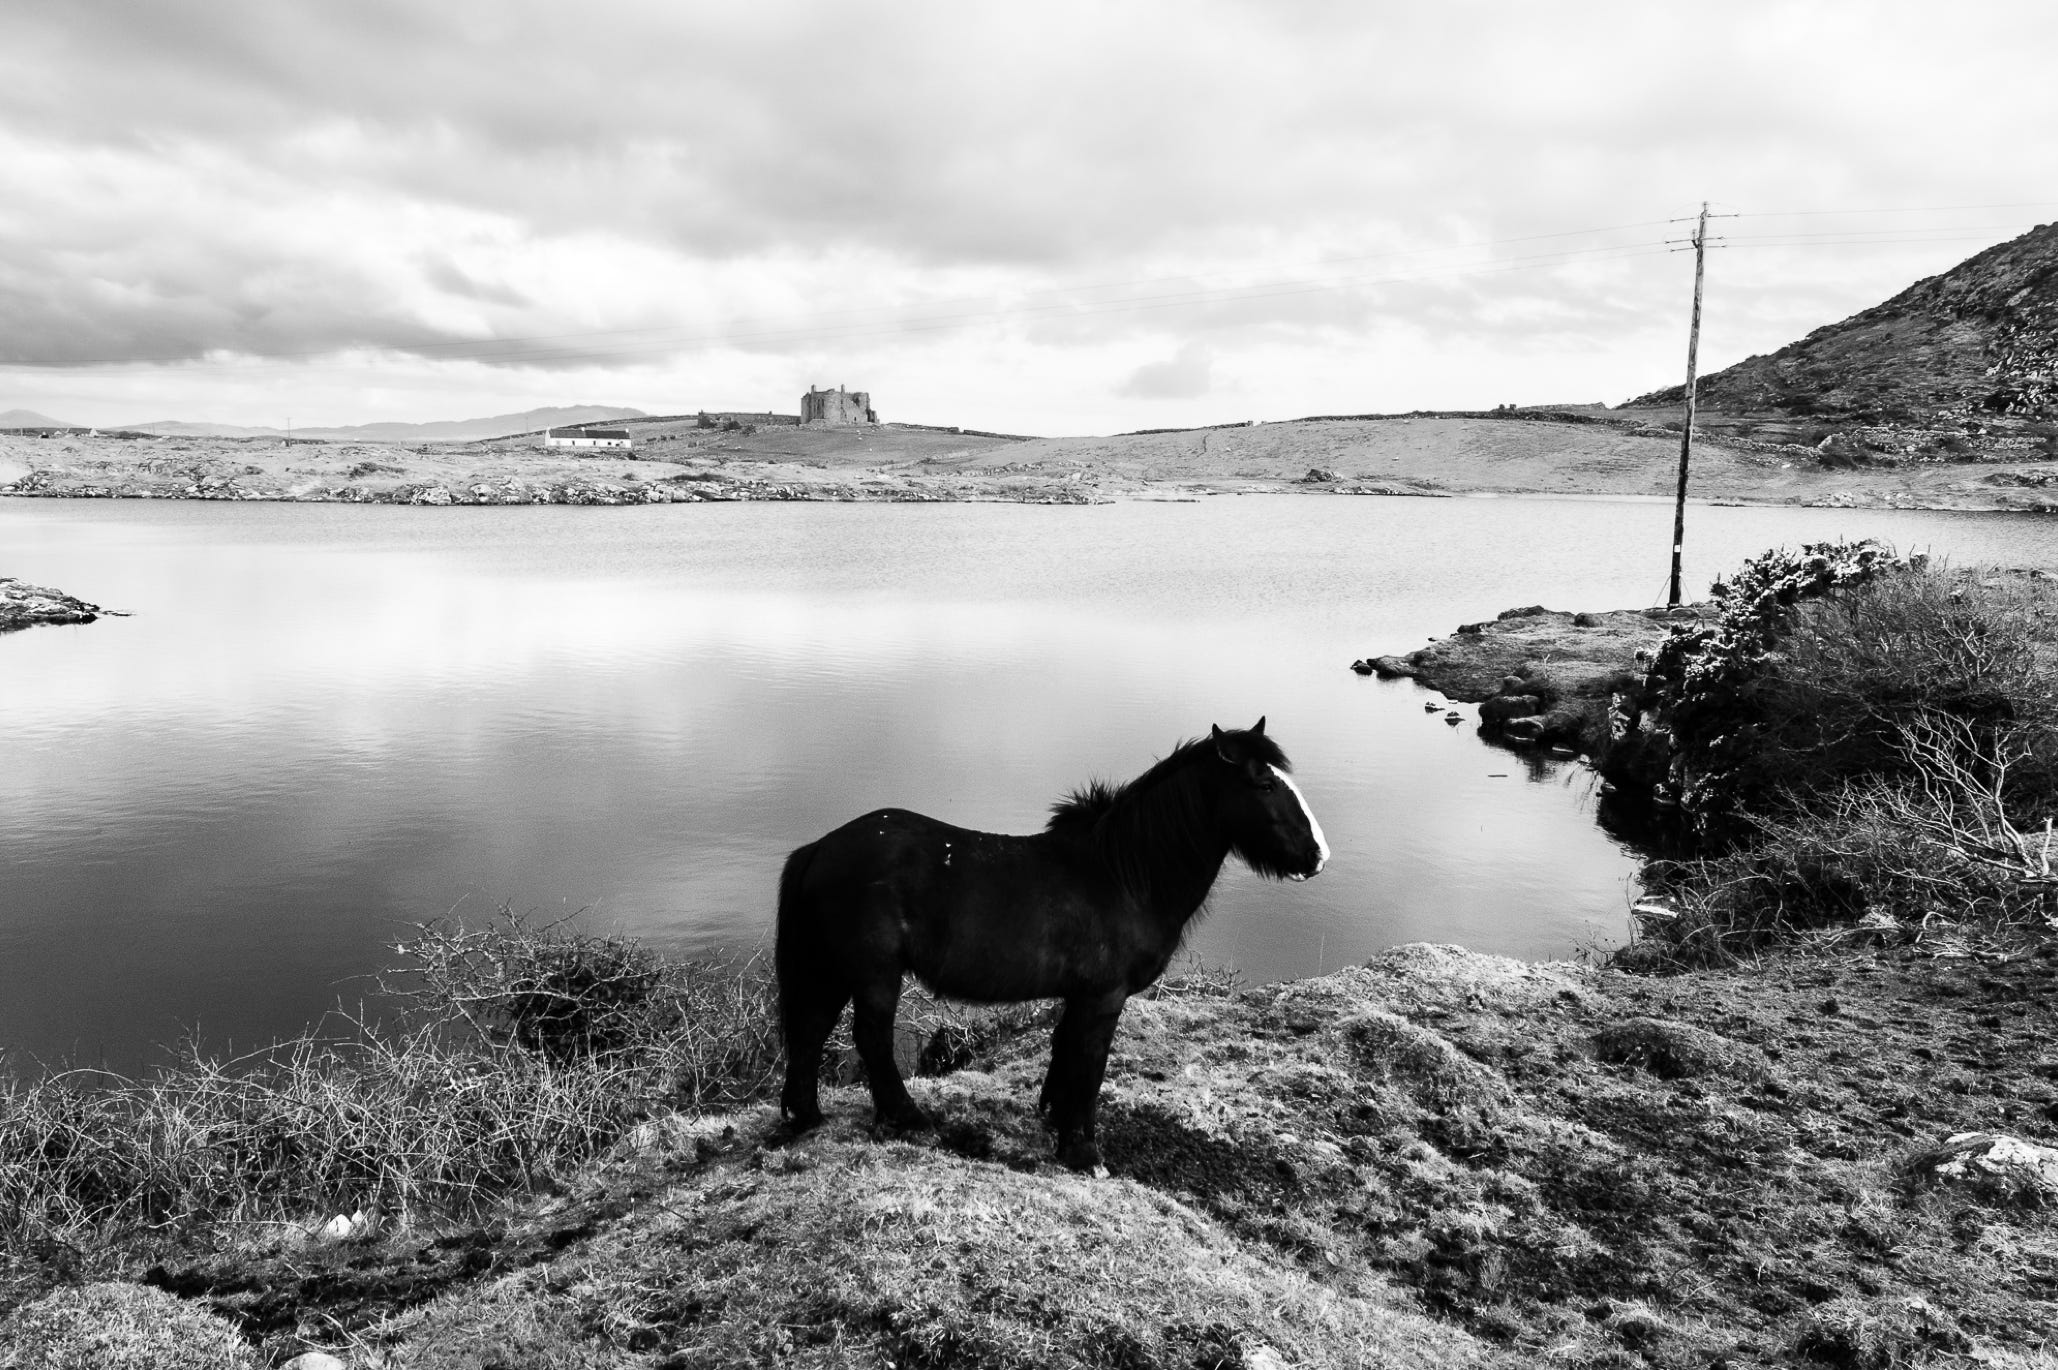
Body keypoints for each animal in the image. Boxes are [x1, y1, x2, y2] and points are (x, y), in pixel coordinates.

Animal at [773, 719, 1333, 1168]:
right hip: (873, 973)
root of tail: (820, 847)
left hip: (830, 970)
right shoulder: (1103, 997)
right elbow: (1089, 1066)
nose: (1318, 855)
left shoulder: (1079, 997)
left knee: (809, 1034)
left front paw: (1054, 1124)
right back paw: (907, 1118)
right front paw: (1083, 1152)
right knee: (869, 1040)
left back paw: (807, 1117)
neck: (1123, 876)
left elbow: (1065, 1054)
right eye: (1264, 782)